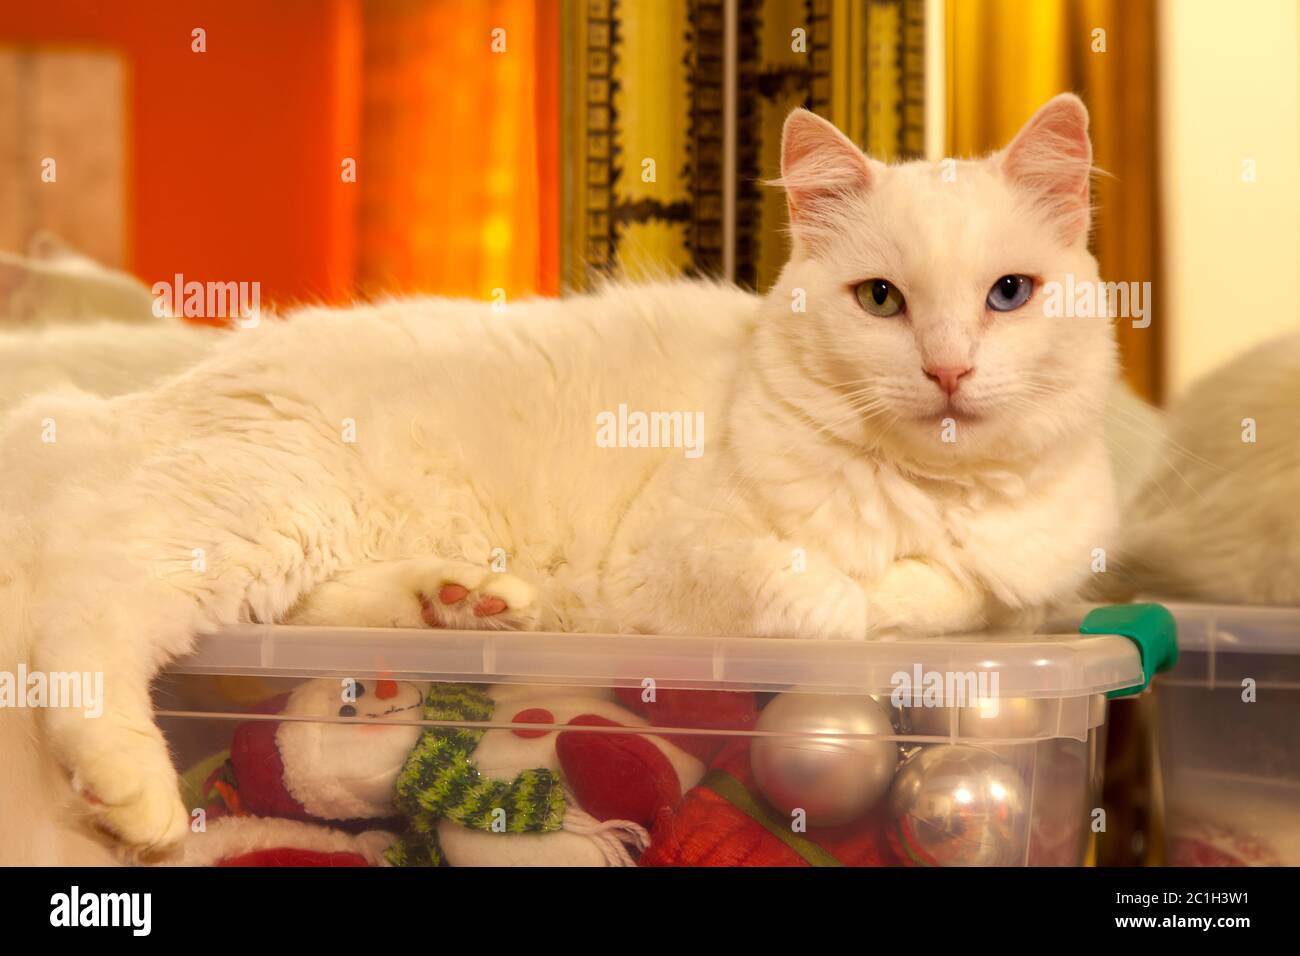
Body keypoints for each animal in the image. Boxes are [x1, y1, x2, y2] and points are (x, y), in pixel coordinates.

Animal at [0, 93, 1118, 863]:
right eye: (880, 299)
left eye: (1008, 295)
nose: (947, 370)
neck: (926, 490)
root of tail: (130, 410)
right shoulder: (680, 562)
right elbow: (829, 602)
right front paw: (865, 594)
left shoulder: (1015, 599)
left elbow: (950, 595)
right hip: (251, 514)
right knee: (88, 610)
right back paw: (136, 798)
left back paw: (463, 602)